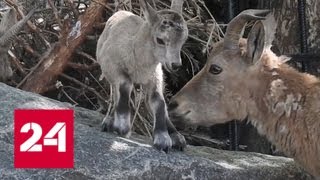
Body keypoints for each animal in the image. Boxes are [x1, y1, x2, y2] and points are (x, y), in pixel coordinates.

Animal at [96, 0, 189, 151]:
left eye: (183, 40)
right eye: (160, 40)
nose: (175, 64)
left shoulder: (155, 77)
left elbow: (158, 102)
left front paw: (163, 139)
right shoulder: (113, 67)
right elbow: (125, 85)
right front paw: (122, 126)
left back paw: (177, 137)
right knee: (116, 92)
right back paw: (109, 121)